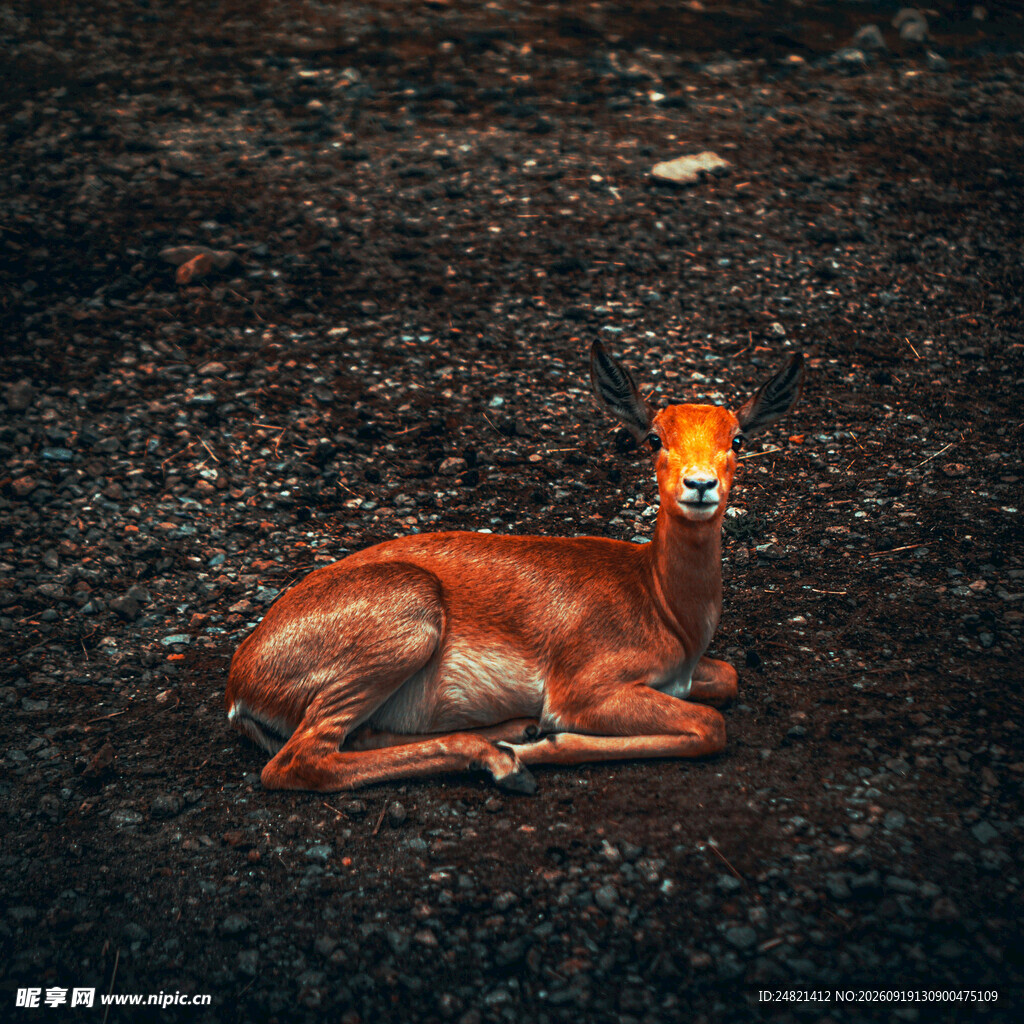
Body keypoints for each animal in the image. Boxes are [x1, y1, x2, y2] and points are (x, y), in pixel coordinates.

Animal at [225, 341, 804, 793]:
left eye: (737, 439)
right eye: (655, 438)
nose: (700, 484)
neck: (662, 605)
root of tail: (240, 681)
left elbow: (727, 680)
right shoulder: (583, 689)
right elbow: (709, 726)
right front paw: (543, 744)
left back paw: (509, 738)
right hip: (405, 622)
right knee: (301, 761)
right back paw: (506, 760)